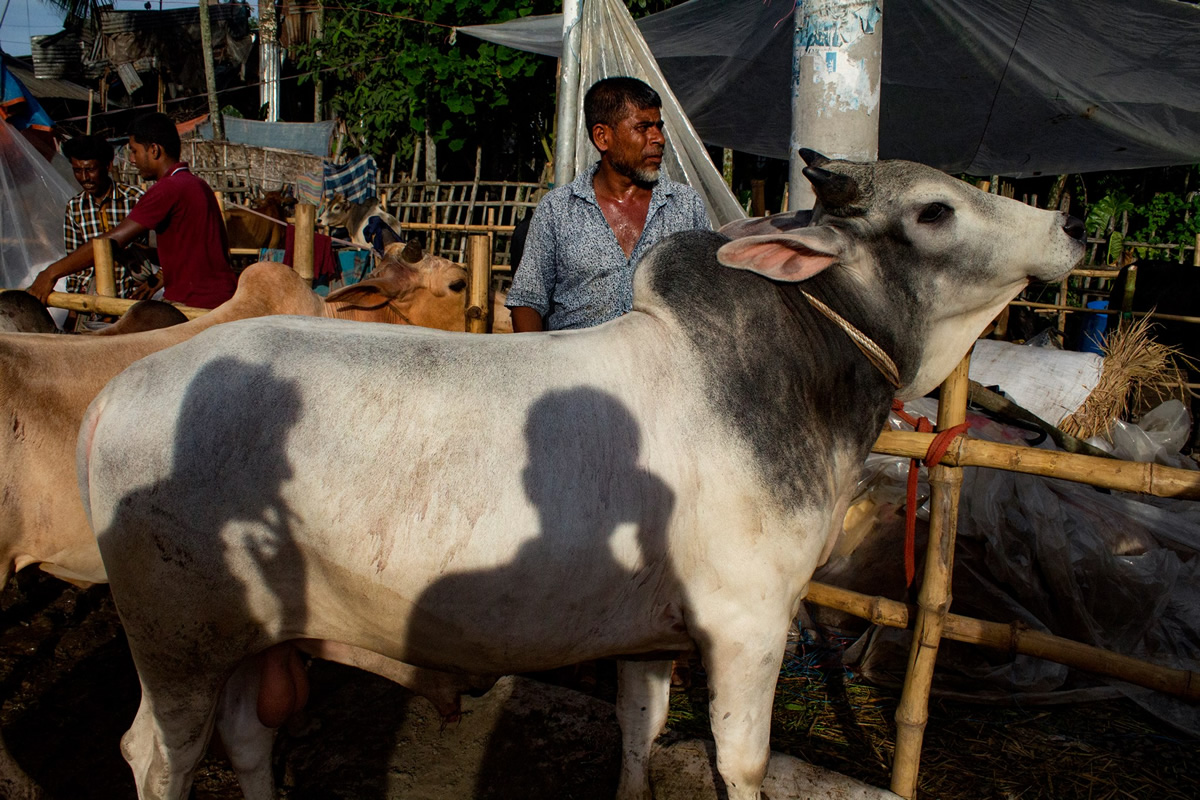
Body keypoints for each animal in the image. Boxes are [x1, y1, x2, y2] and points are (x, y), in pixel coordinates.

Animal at [79, 151, 1084, 800]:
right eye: (934, 211)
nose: (1065, 224)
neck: (798, 365)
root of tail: (116, 391)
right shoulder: (749, 624)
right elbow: (742, 766)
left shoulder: (650, 635)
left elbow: (639, 736)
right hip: (176, 642)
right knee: (154, 755)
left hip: (248, 631)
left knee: (247, 738)